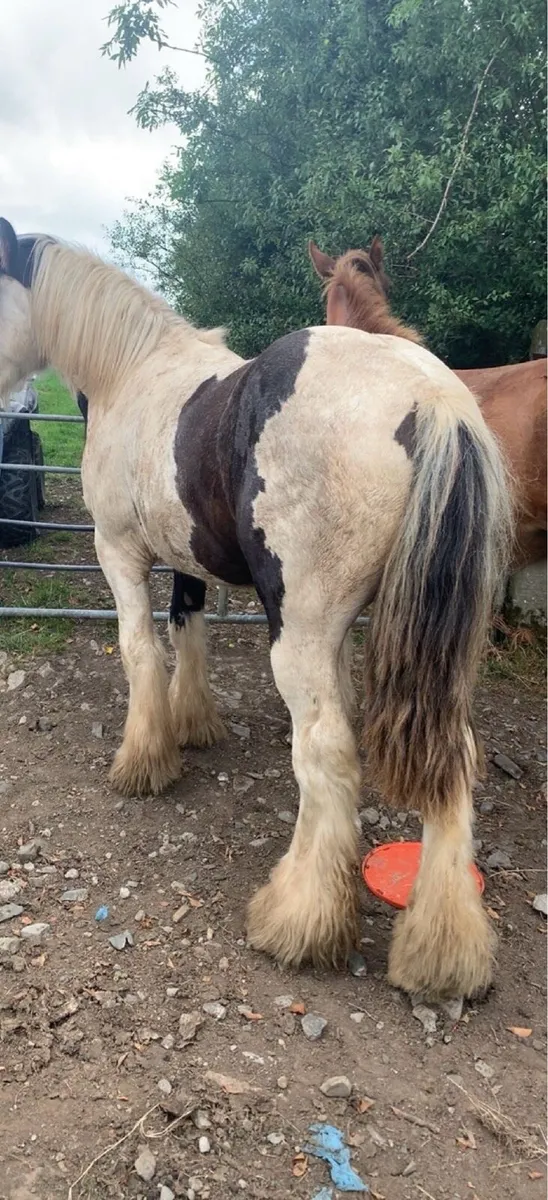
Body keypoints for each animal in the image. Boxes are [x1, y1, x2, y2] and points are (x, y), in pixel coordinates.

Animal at [0, 216, 513, 1002]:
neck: (132, 371)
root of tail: (435, 401)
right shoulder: (184, 559)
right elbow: (188, 628)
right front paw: (194, 724)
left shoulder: (118, 551)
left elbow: (139, 650)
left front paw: (145, 758)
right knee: (451, 762)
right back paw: (442, 953)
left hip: (300, 633)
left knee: (326, 753)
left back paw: (298, 920)